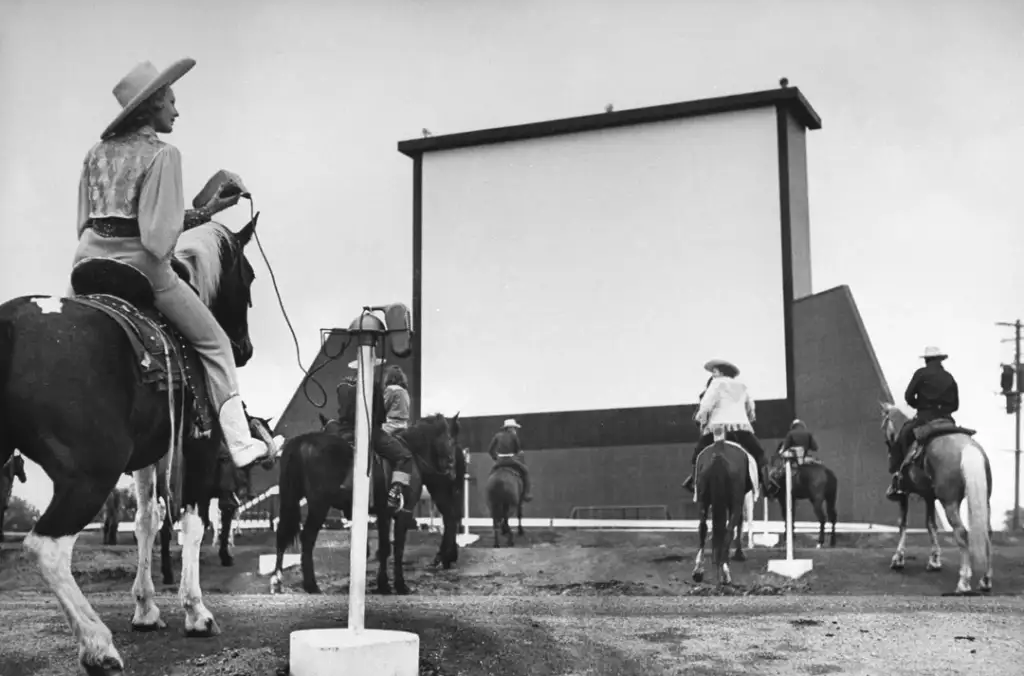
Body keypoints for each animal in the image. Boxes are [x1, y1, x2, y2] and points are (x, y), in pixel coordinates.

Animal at [0, 218, 268, 671]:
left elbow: (146, 522)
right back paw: (96, 644)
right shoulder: (195, 449)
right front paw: (196, 612)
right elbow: (193, 526)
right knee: (46, 547)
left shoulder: (148, 457)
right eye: (248, 276)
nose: (244, 349)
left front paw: (145, 608)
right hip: (92, 473)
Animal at [272, 413, 464, 594]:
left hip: (290, 500)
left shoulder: (384, 513)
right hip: (319, 505)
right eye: (451, 439)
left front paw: (383, 584)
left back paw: (277, 581)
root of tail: (301, 442)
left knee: (282, 535)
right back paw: (311, 585)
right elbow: (397, 548)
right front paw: (399, 585)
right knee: (307, 538)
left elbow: (385, 547)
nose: (452, 470)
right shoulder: (403, 512)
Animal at [692, 430, 749, 581]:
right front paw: (738, 554)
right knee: (729, 530)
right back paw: (725, 571)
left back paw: (699, 569)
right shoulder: (737, 503)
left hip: (703, 501)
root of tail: (718, 454)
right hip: (735, 504)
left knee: (703, 527)